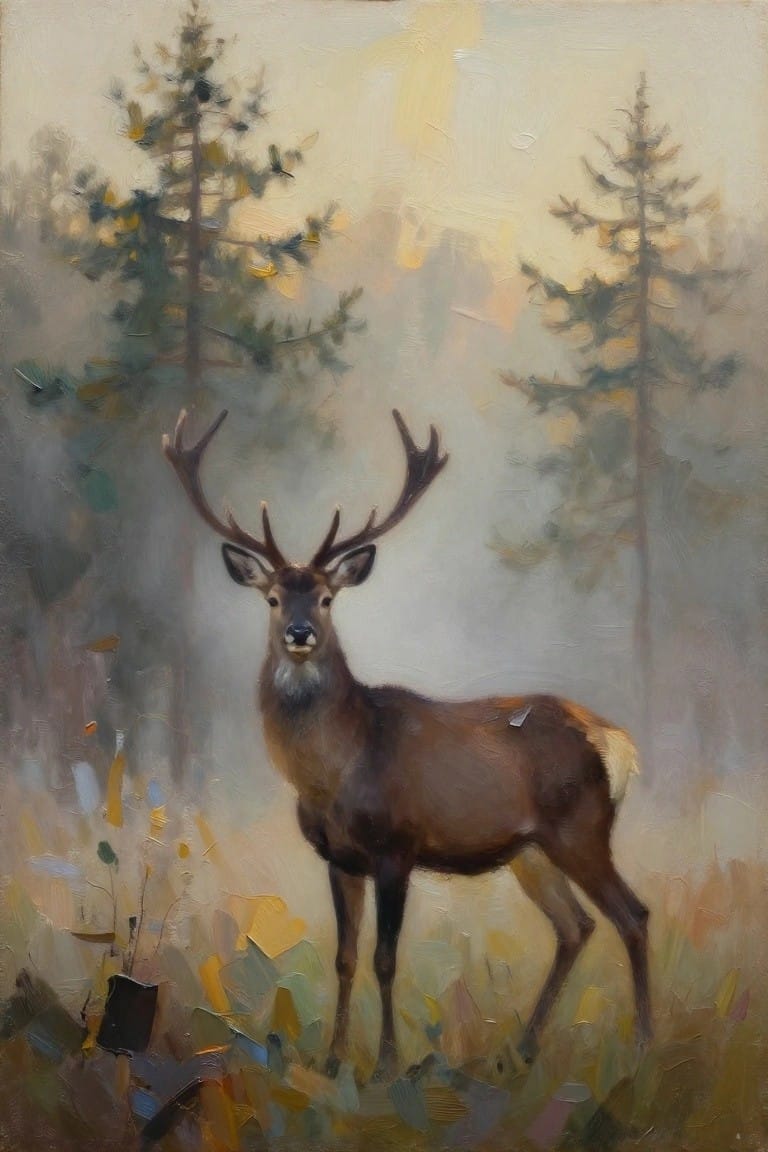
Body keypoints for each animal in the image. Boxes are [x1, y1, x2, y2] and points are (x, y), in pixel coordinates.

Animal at [162, 406, 651, 1082]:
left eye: (326, 597)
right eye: (272, 597)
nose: (299, 632)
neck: (334, 772)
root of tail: (616, 739)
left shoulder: (397, 845)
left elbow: (386, 959)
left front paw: (387, 1064)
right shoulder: (339, 858)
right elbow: (343, 957)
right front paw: (332, 1060)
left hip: (582, 826)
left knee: (633, 916)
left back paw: (643, 1046)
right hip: (532, 851)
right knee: (575, 927)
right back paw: (523, 1049)